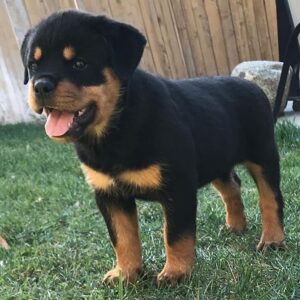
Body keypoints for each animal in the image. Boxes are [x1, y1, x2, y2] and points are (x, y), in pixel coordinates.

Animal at [21, 9, 286, 286]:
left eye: (79, 64)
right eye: (33, 66)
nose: (39, 85)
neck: (115, 128)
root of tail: (252, 86)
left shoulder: (178, 187)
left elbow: (175, 235)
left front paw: (175, 273)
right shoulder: (109, 194)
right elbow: (122, 237)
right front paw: (125, 273)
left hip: (263, 154)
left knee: (271, 197)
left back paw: (272, 240)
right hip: (216, 158)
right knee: (232, 186)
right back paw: (236, 225)